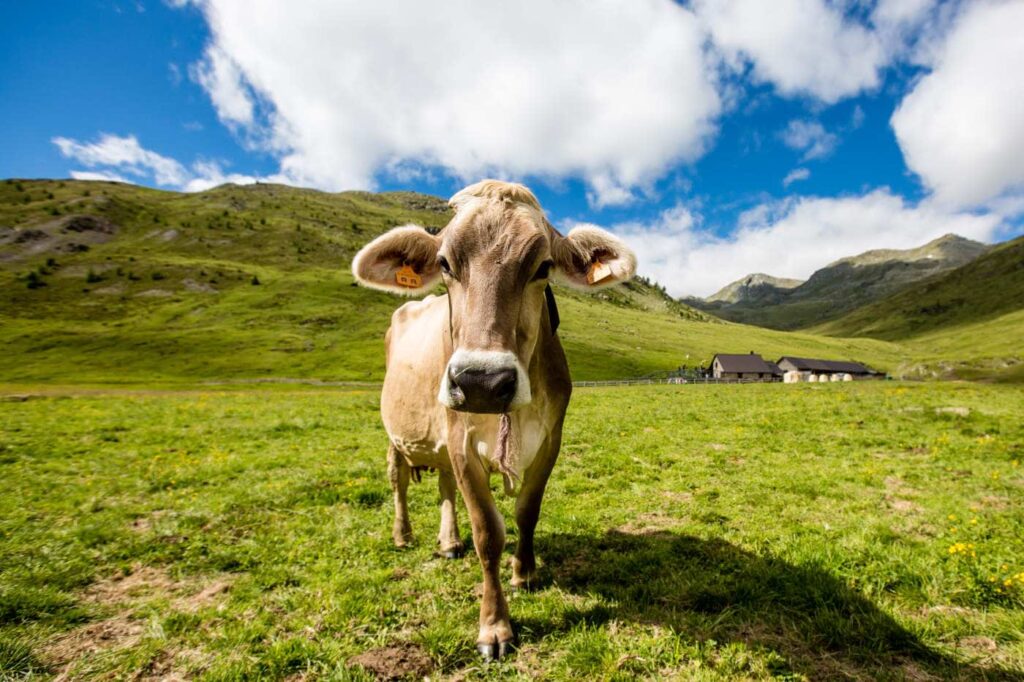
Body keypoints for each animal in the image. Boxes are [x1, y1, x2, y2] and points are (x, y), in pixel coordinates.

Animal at [356, 178, 634, 655]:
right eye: (445, 263)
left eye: (542, 266)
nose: (482, 382)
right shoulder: (462, 442)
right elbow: (488, 532)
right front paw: (495, 626)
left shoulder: (550, 440)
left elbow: (527, 512)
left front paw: (524, 573)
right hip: (398, 435)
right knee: (398, 482)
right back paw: (403, 534)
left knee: (444, 487)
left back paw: (449, 541)